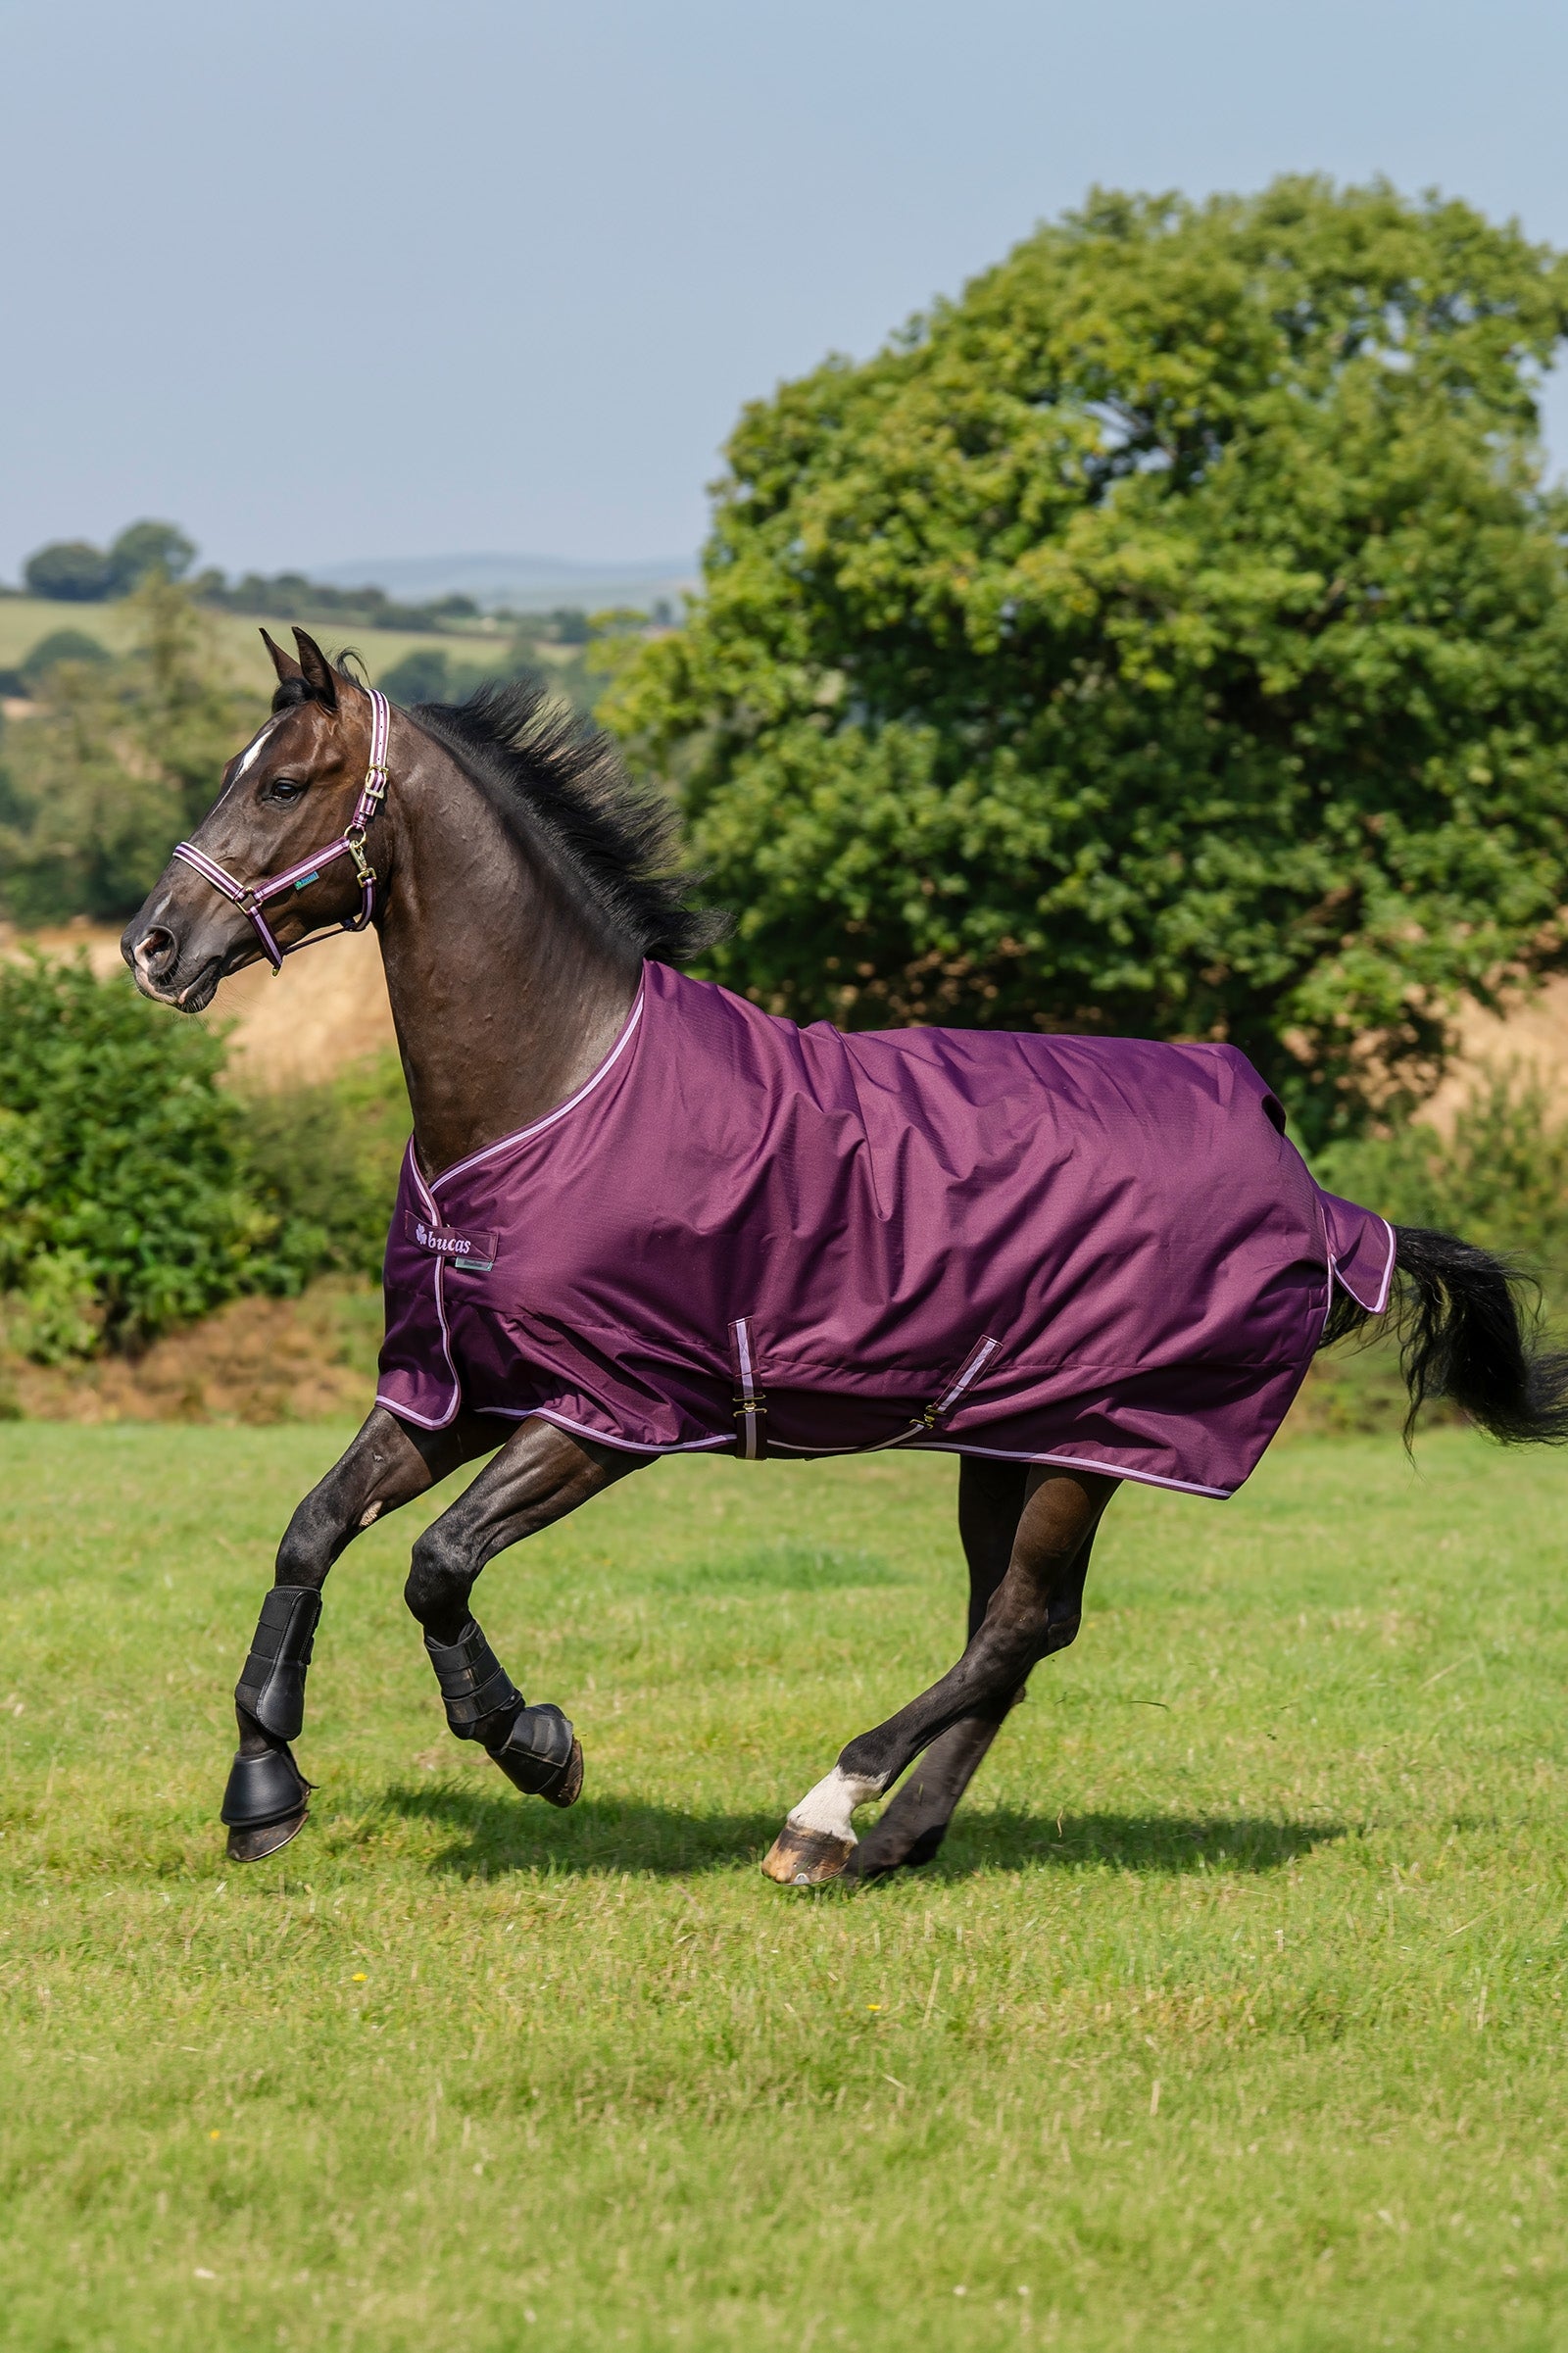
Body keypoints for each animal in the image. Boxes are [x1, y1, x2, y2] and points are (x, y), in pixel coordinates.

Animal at [123, 628, 1568, 1884]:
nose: (153, 944)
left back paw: (824, 1813)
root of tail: (1322, 1203)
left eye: (286, 781)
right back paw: (887, 1843)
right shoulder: (454, 1389)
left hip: (1097, 1440)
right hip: (1008, 1438)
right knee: (1017, 1627)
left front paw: (537, 1747)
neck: (557, 1084)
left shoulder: (610, 1412)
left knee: (1017, 1626)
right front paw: (263, 1794)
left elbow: (437, 1565)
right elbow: (310, 1535)